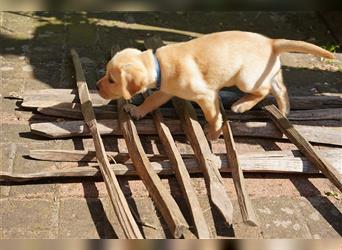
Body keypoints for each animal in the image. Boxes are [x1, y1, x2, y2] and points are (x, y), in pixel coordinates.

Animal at [96, 30, 334, 140]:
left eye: (111, 80)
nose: (97, 86)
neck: (158, 65)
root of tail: (271, 41)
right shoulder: (165, 91)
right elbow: (152, 100)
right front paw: (137, 110)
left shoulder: (206, 96)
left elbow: (212, 116)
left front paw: (213, 133)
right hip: (266, 72)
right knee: (281, 88)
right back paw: (284, 111)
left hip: (246, 78)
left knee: (265, 90)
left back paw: (241, 105)